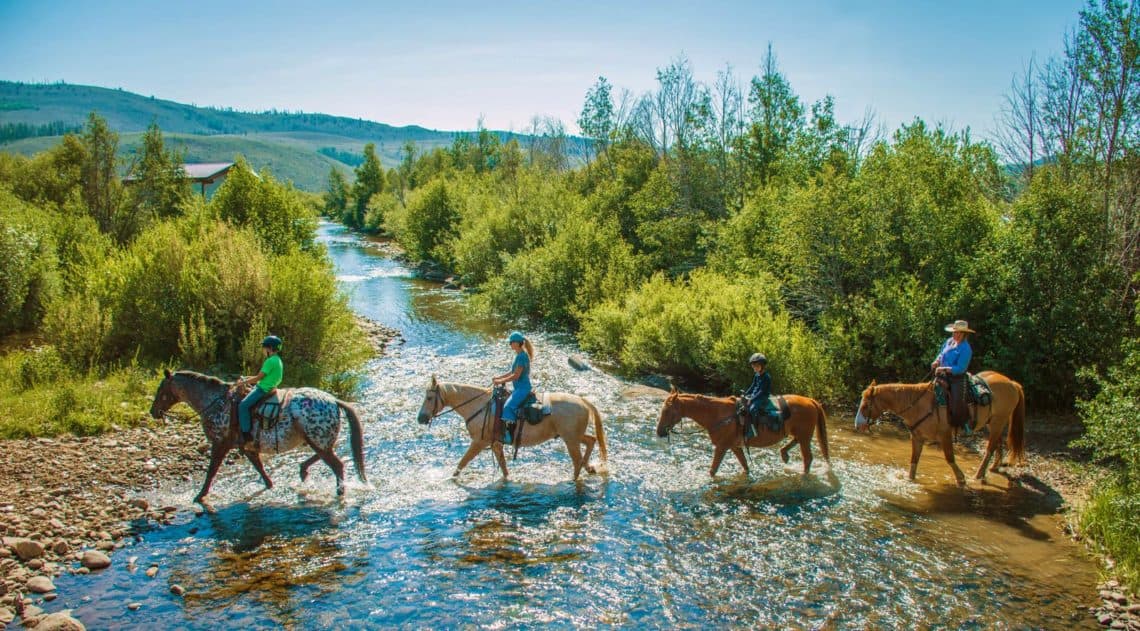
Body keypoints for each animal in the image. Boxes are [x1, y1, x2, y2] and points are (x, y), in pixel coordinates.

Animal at [149, 369, 367, 501]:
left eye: (160, 390)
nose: (153, 412)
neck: (215, 402)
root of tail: (334, 400)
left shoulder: (220, 444)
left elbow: (211, 471)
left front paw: (200, 496)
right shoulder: (247, 447)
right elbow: (259, 467)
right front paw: (270, 485)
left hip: (317, 440)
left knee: (337, 465)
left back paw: (339, 493)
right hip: (317, 441)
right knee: (325, 456)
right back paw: (303, 471)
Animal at [410, 373, 606, 480]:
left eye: (429, 398)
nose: (420, 418)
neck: (479, 406)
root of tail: (583, 401)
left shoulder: (479, 442)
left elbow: (462, 462)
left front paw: (450, 479)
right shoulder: (495, 444)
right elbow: (503, 467)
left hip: (570, 440)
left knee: (577, 460)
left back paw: (574, 479)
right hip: (573, 436)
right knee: (591, 440)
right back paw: (590, 467)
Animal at [656, 382, 834, 476]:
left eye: (667, 411)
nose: (659, 432)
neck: (718, 414)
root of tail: (811, 401)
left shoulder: (722, 447)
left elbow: (713, 470)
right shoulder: (735, 446)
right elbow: (745, 466)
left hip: (805, 436)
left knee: (808, 458)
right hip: (802, 434)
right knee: (795, 442)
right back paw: (784, 454)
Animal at [852, 371, 1030, 482]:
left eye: (866, 405)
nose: (857, 425)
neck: (918, 404)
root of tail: (1012, 383)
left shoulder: (945, 435)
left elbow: (950, 458)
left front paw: (961, 479)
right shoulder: (917, 438)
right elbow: (914, 460)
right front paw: (910, 480)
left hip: (998, 421)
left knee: (990, 448)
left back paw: (978, 475)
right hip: (992, 423)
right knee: (997, 444)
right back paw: (993, 467)